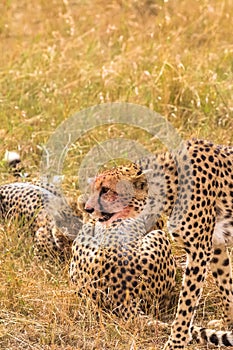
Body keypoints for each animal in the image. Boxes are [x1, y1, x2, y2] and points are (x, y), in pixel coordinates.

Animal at [80, 139, 233, 348]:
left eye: (106, 190)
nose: (87, 209)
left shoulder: (199, 250)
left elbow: (186, 304)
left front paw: (175, 343)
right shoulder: (216, 243)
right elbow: (226, 284)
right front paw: (228, 323)